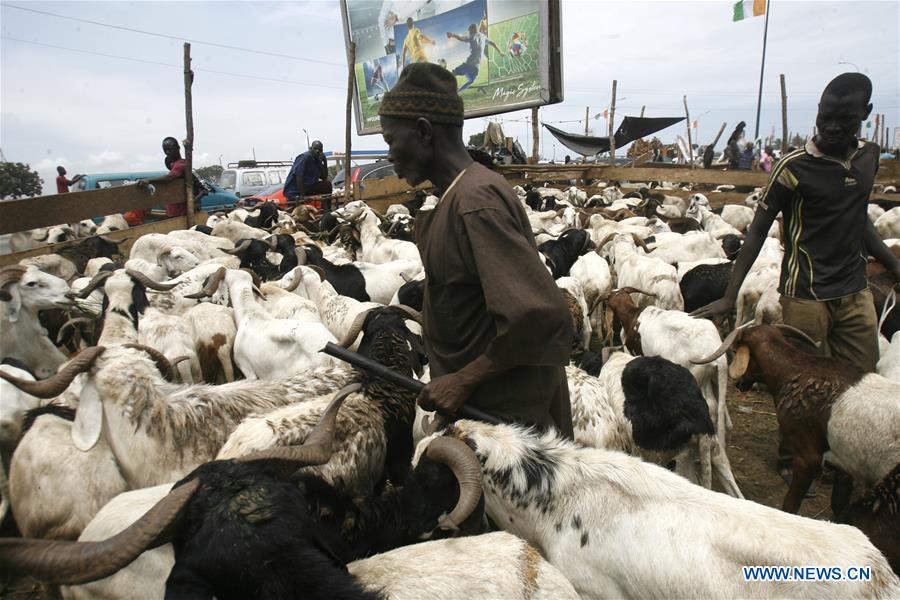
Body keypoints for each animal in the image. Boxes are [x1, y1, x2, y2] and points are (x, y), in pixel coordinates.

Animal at [696, 324, 900, 516]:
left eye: (736, 350)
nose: (739, 384)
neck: (794, 370)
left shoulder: (807, 456)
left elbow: (790, 505)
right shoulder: (845, 462)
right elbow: (839, 501)